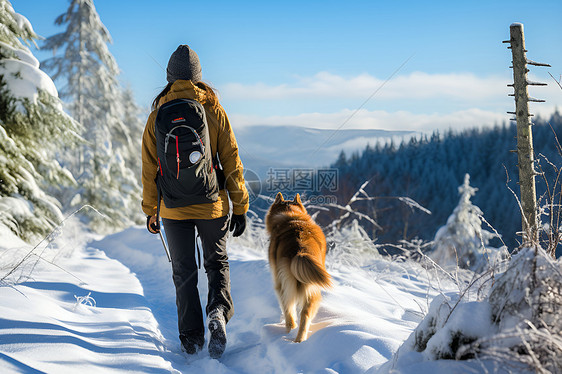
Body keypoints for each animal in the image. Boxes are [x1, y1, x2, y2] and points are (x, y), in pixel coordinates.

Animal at [264, 193, 330, 342]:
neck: (293, 216)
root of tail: (300, 249)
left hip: (284, 285)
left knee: (288, 309)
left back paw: (291, 330)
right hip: (312, 289)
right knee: (305, 315)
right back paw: (299, 340)